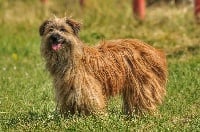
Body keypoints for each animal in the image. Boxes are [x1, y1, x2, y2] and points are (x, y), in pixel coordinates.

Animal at [39, 16, 167, 115]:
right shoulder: (66, 87)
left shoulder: (87, 87)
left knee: (143, 98)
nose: (54, 37)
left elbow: (92, 101)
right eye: (50, 30)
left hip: (141, 83)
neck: (71, 55)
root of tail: (154, 51)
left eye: (63, 29)